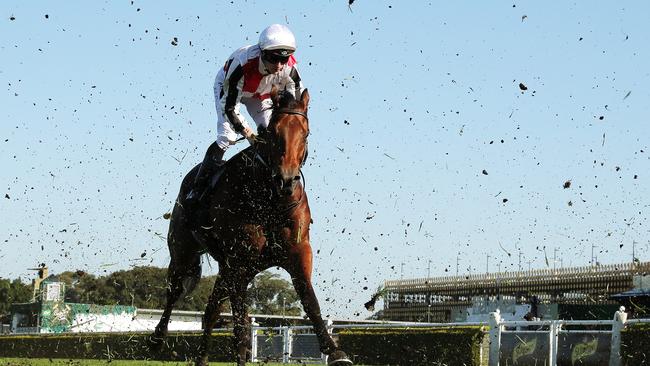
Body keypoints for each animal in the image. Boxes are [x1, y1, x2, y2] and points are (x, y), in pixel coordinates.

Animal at [149, 86, 352, 366]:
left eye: (305, 132)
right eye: (273, 133)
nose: (286, 180)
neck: (271, 200)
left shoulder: (298, 252)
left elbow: (310, 301)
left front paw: (335, 352)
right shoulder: (240, 261)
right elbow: (239, 322)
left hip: (227, 268)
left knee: (211, 310)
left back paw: (202, 358)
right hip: (185, 251)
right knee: (175, 290)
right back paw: (158, 338)